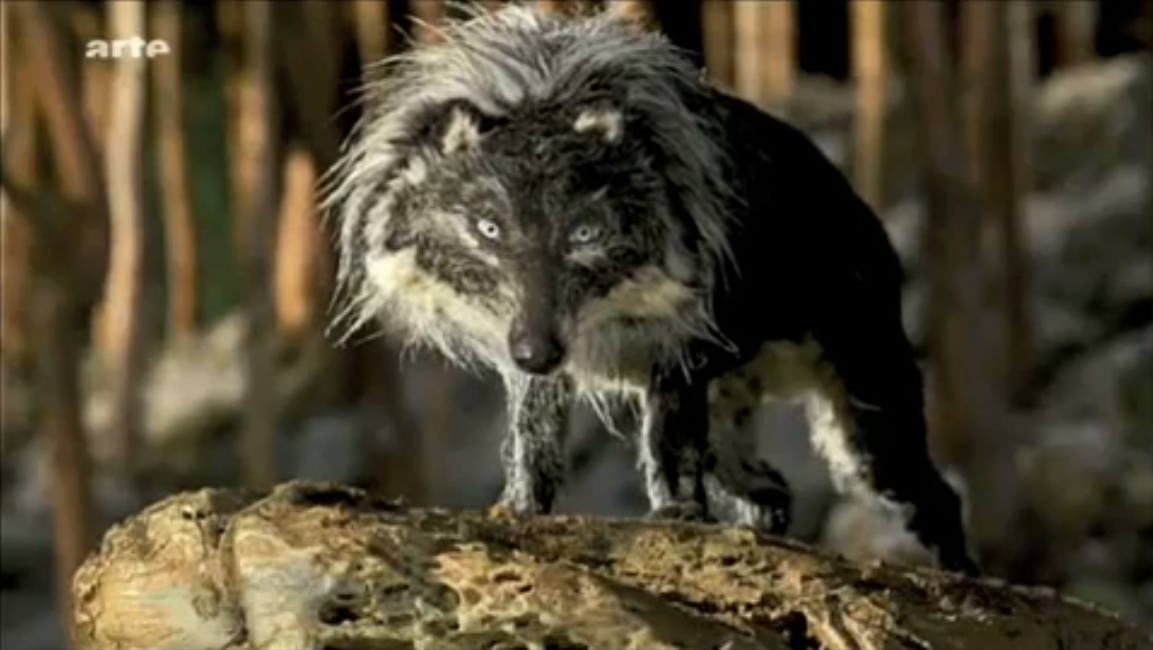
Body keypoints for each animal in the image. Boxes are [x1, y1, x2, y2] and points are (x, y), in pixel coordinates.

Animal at [321, 4, 980, 576]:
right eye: (488, 228)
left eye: (584, 232)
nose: (536, 350)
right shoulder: (543, 372)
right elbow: (532, 445)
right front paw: (517, 510)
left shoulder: (678, 357)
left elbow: (667, 449)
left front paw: (678, 519)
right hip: (739, 423)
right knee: (772, 490)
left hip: (869, 424)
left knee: (937, 497)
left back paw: (964, 576)